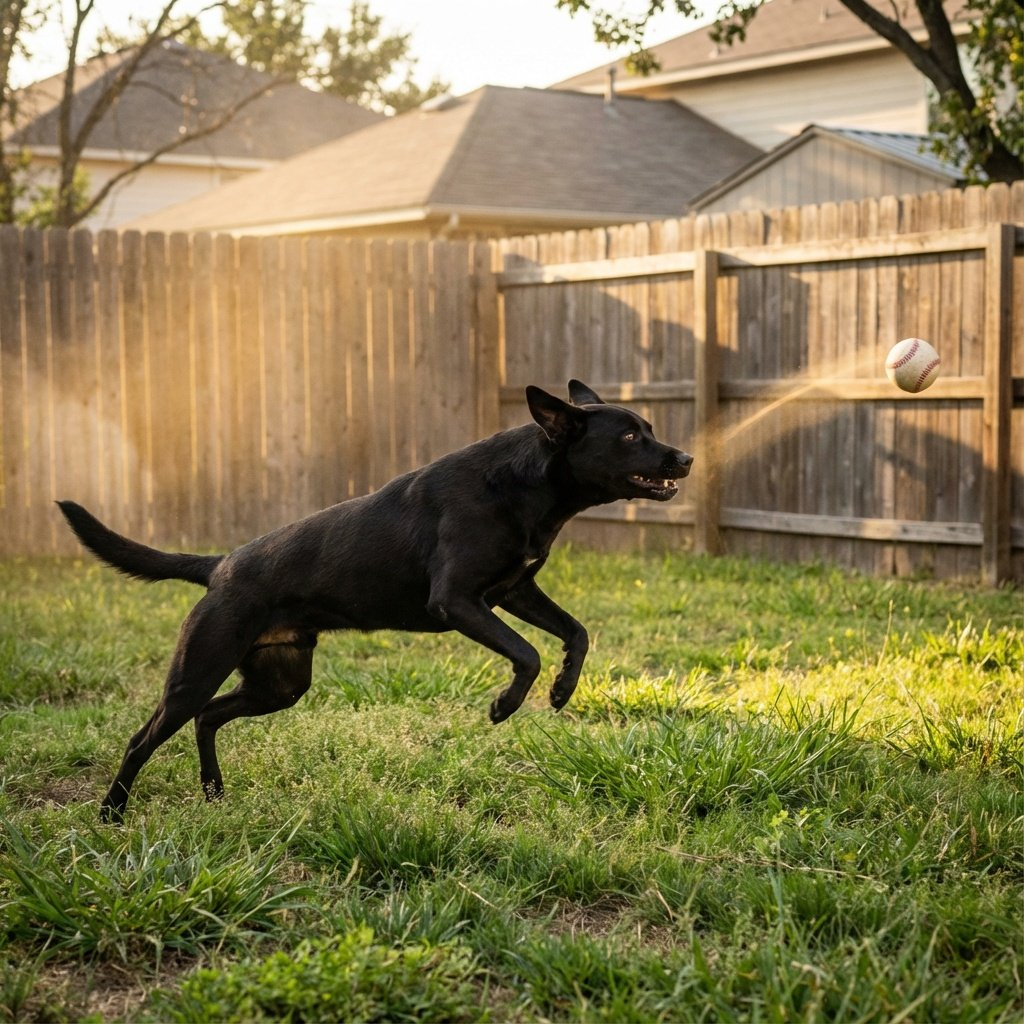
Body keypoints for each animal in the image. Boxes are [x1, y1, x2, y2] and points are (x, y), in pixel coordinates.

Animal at [58, 380, 692, 820]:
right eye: (630, 437)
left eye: (649, 426)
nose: (685, 458)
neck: (526, 482)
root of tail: (221, 565)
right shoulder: (457, 600)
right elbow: (527, 653)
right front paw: (505, 706)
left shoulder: (515, 590)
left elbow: (576, 633)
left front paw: (563, 690)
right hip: (198, 670)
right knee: (144, 737)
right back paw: (111, 815)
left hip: (280, 683)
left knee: (209, 718)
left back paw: (214, 794)